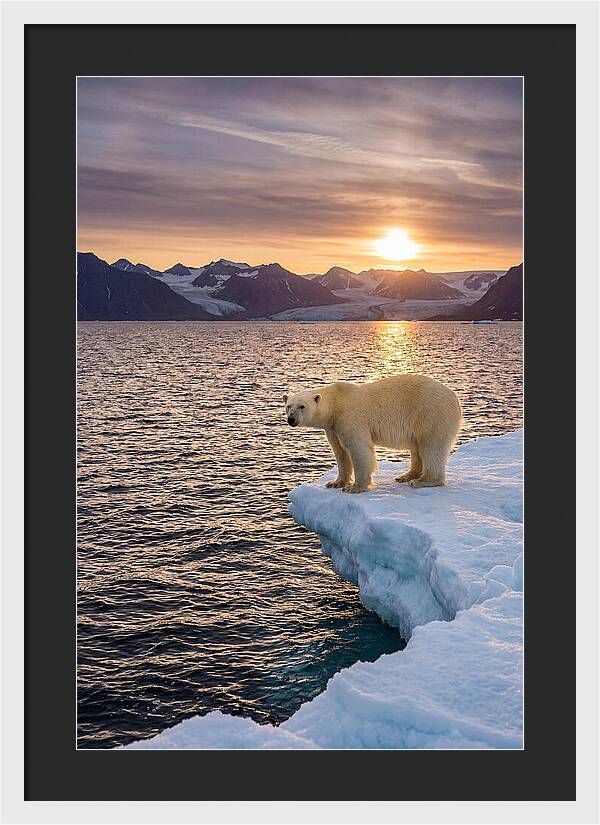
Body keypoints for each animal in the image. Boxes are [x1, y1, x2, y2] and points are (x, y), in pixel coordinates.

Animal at [283, 374, 461, 493]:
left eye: (302, 406)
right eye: (288, 406)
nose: (291, 419)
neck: (336, 403)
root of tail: (455, 397)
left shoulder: (350, 417)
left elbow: (358, 449)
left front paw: (355, 487)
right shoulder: (333, 427)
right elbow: (340, 452)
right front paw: (335, 483)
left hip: (431, 414)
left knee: (431, 447)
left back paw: (422, 481)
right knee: (417, 448)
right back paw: (406, 476)